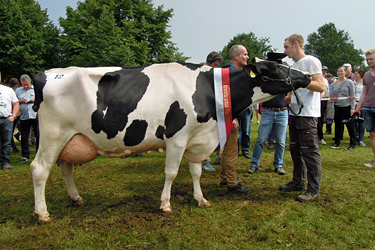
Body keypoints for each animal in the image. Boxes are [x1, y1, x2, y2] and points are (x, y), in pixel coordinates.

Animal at [30, 61, 312, 224]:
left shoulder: (198, 138)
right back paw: (43, 214)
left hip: (71, 139)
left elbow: (196, 171)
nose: (309, 76)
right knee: (40, 169)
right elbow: (172, 172)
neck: (208, 91)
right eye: (274, 68)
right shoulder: (177, 136)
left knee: (65, 167)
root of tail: (45, 74)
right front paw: (165, 204)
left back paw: (76, 198)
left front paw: (201, 199)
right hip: (53, 134)